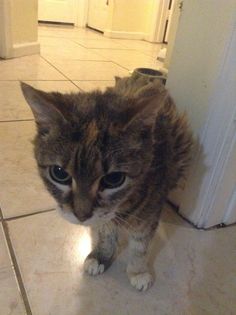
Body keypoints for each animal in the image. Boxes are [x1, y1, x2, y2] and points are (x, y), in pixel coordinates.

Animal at [21, 76, 193, 292]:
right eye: (59, 173)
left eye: (114, 179)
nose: (82, 216)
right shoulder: (104, 217)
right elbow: (106, 232)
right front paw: (102, 255)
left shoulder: (149, 212)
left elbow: (141, 245)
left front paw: (138, 271)